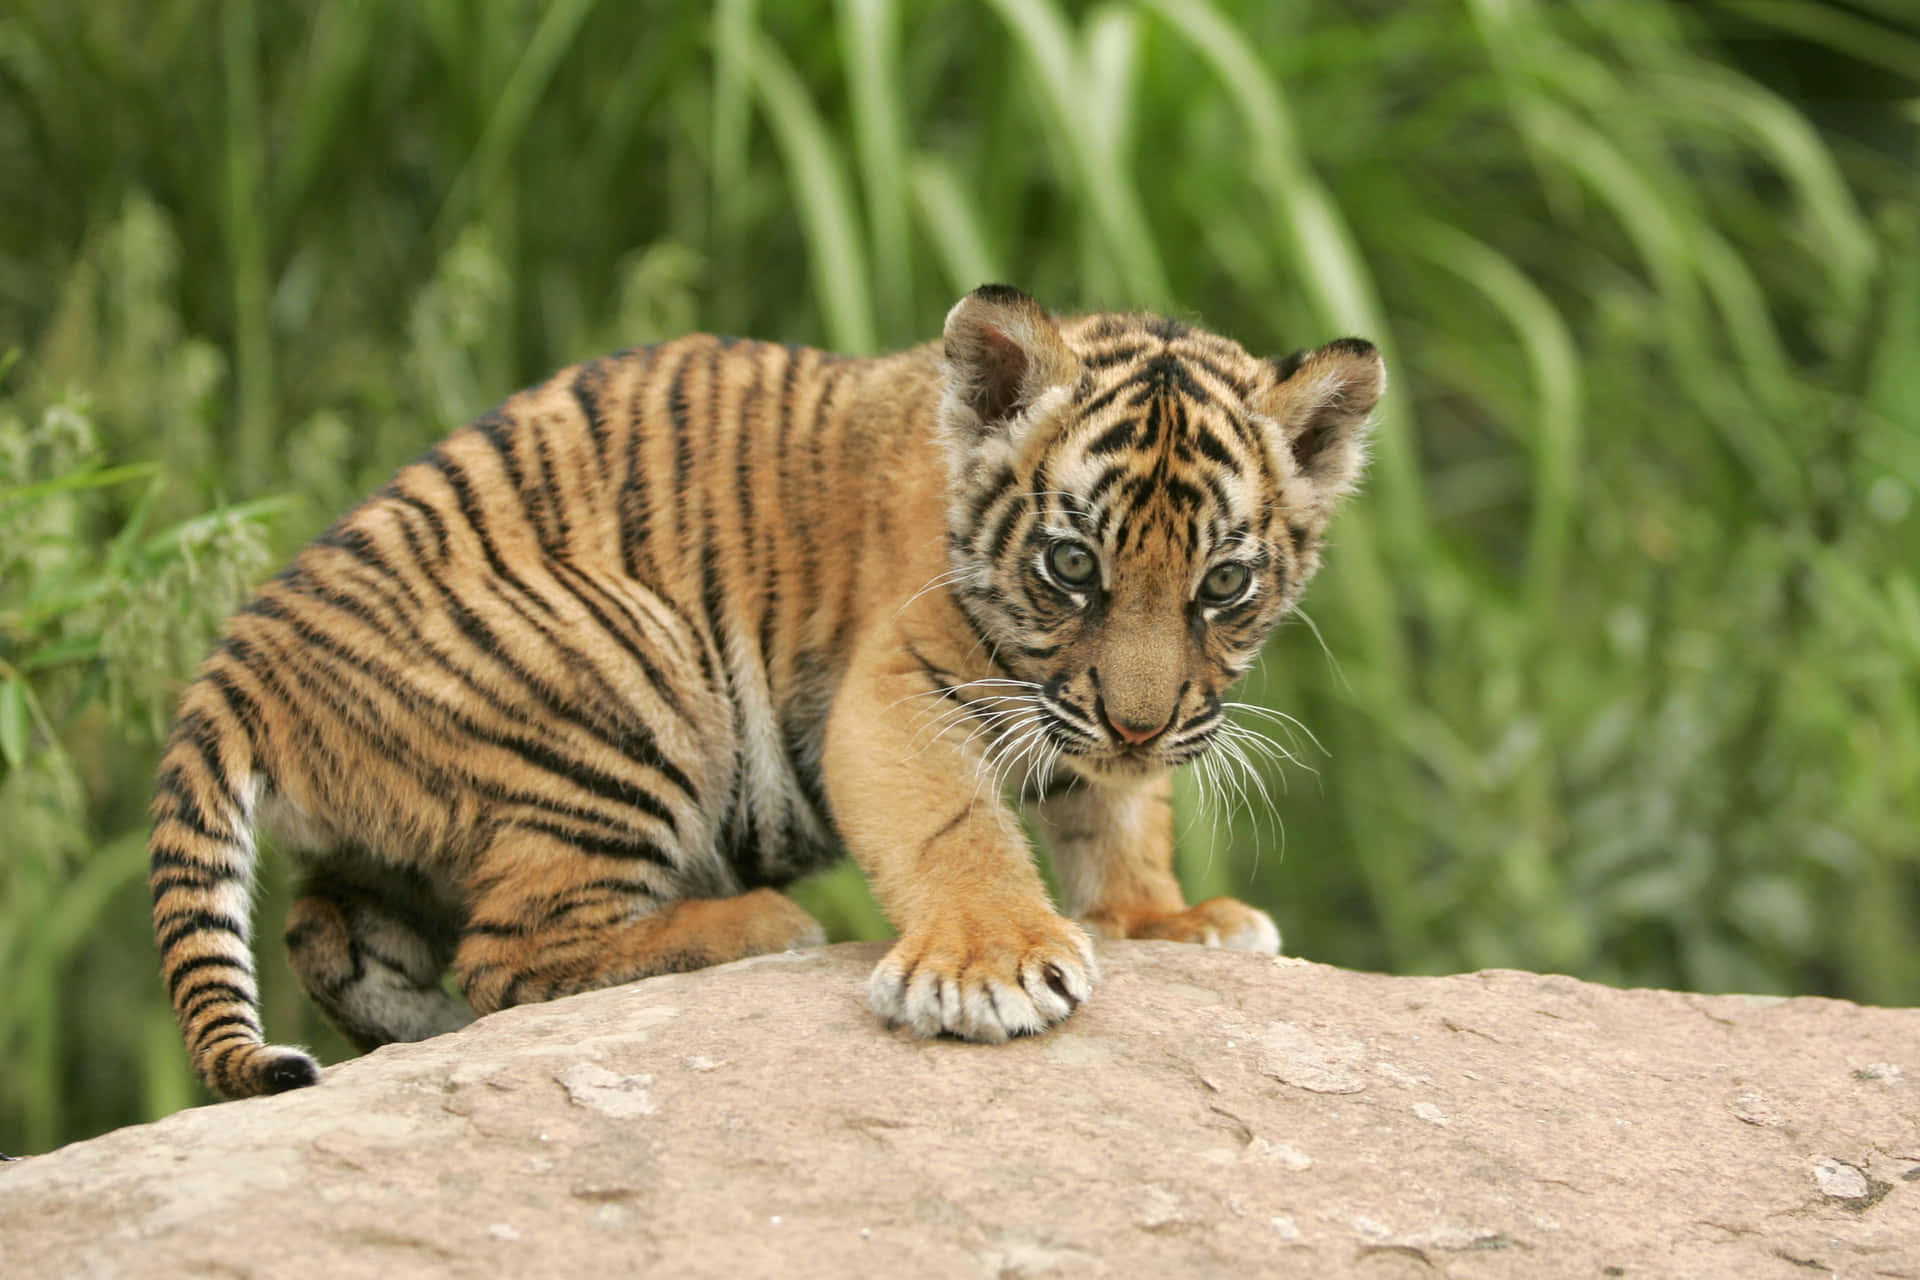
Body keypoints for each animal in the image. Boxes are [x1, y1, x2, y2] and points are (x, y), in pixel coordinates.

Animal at [148, 284, 1383, 1099]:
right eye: (1073, 565)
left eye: (1222, 583)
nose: (1139, 721)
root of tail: (236, 661)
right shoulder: (898, 690)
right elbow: (958, 827)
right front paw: (993, 966)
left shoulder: (1094, 723)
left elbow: (1121, 812)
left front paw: (1166, 916)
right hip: (635, 674)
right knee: (511, 953)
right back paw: (754, 924)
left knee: (334, 931)